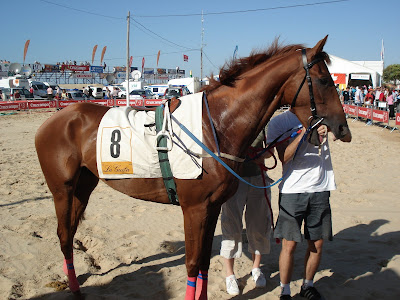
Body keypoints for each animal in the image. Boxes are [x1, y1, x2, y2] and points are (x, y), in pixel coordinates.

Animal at [36, 36, 352, 298]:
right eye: (324, 80)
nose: (342, 129)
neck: (215, 126)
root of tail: (56, 119)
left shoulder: (211, 208)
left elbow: (202, 264)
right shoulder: (194, 209)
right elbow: (190, 264)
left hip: (83, 187)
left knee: (70, 233)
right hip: (62, 191)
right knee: (63, 235)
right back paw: (74, 288)